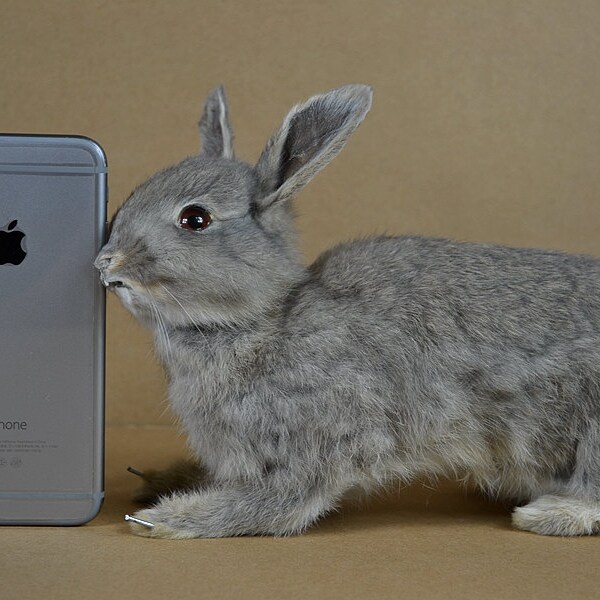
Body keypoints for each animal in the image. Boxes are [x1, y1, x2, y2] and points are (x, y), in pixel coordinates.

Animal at [96, 84, 600, 540]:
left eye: (195, 219)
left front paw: (166, 518)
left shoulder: (319, 438)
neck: (263, 319)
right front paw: (161, 480)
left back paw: (550, 514)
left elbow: (281, 505)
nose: (106, 263)